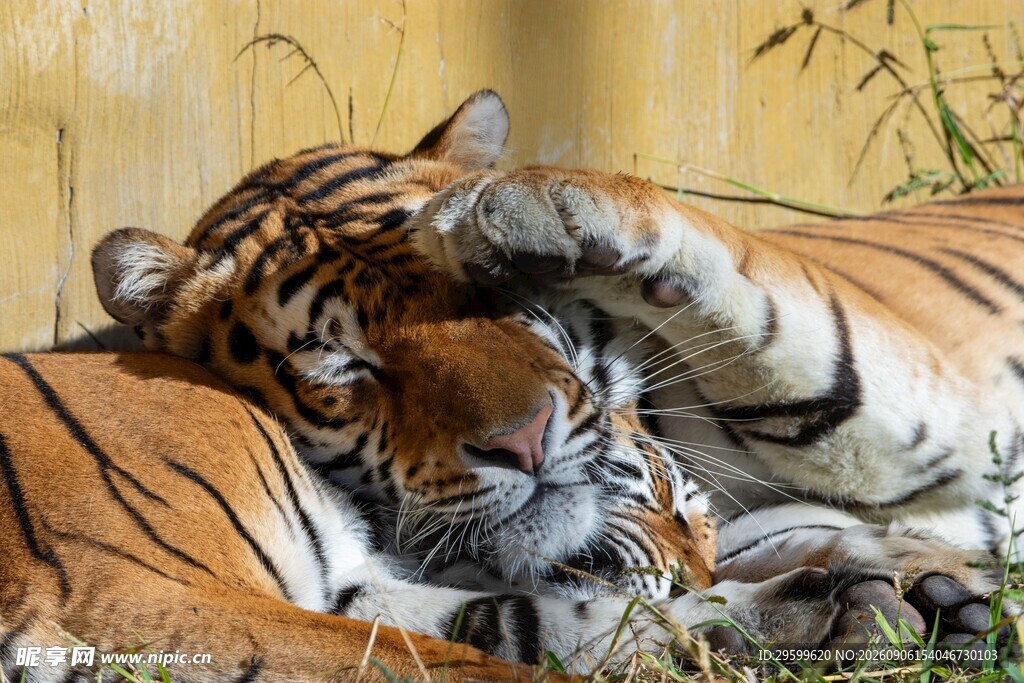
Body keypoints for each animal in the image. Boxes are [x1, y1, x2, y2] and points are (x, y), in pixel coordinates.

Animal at [0, 90, 1012, 682]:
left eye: (485, 297)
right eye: (339, 360)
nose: (525, 440)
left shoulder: (349, 585)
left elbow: (517, 618)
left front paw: (836, 610)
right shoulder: (151, 598)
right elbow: (481, 658)